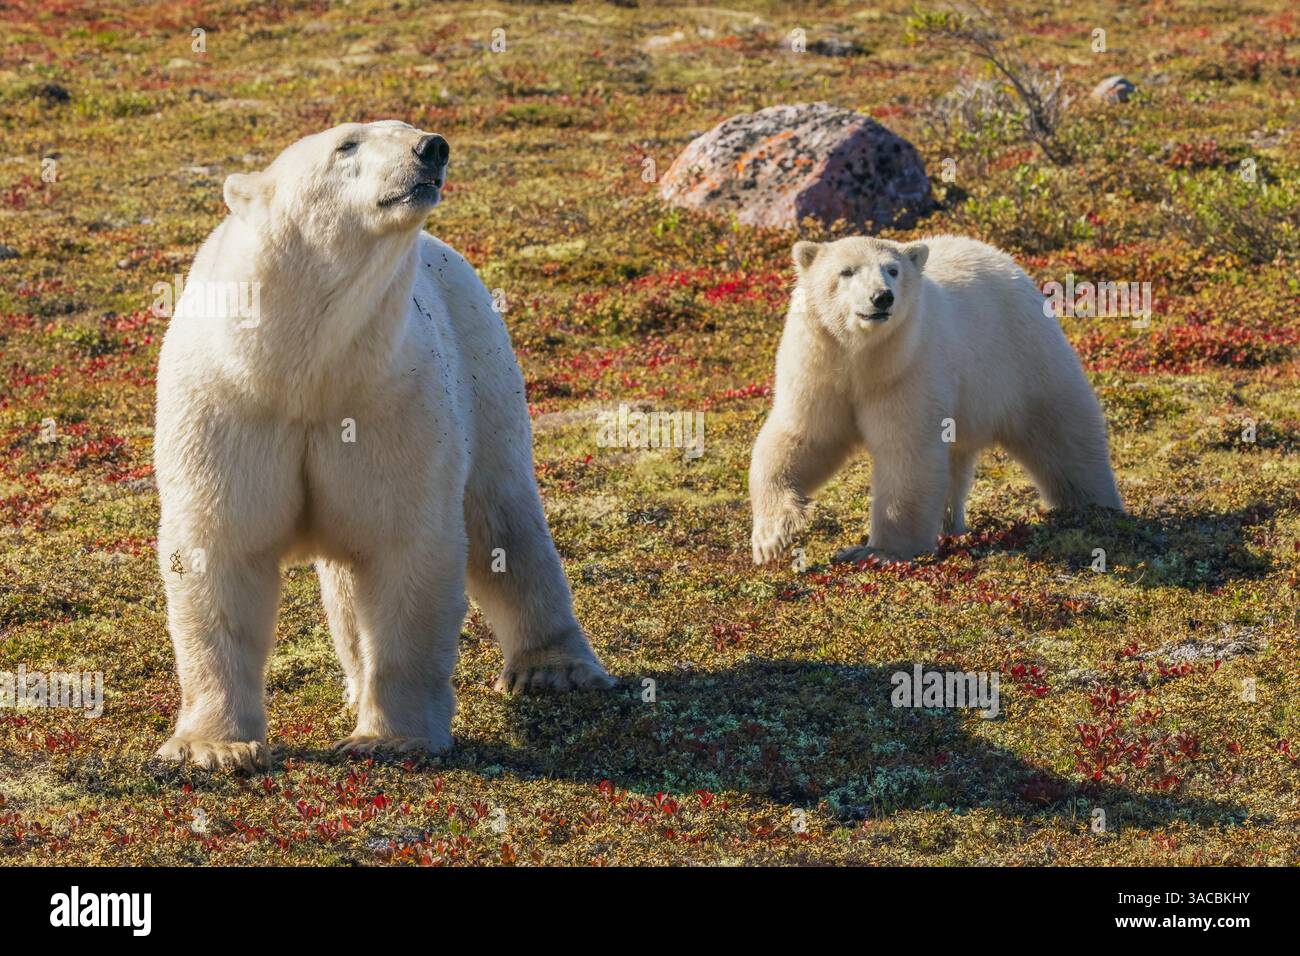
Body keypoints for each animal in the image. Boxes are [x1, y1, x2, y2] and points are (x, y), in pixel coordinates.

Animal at [153, 120, 612, 770]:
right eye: (346, 144)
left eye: (411, 127)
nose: (431, 149)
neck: (300, 369)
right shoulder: (229, 406)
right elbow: (218, 547)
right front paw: (215, 747)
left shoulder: (390, 398)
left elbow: (405, 545)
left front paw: (391, 737)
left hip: (484, 371)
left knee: (503, 521)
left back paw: (554, 669)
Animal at [750, 234, 1123, 566]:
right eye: (847, 271)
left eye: (892, 270)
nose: (882, 297)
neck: (863, 358)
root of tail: (1004, 258)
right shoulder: (820, 366)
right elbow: (804, 438)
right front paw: (772, 538)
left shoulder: (909, 366)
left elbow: (907, 452)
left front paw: (878, 552)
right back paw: (949, 526)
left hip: (1024, 359)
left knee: (1064, 435)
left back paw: (1095, 508)